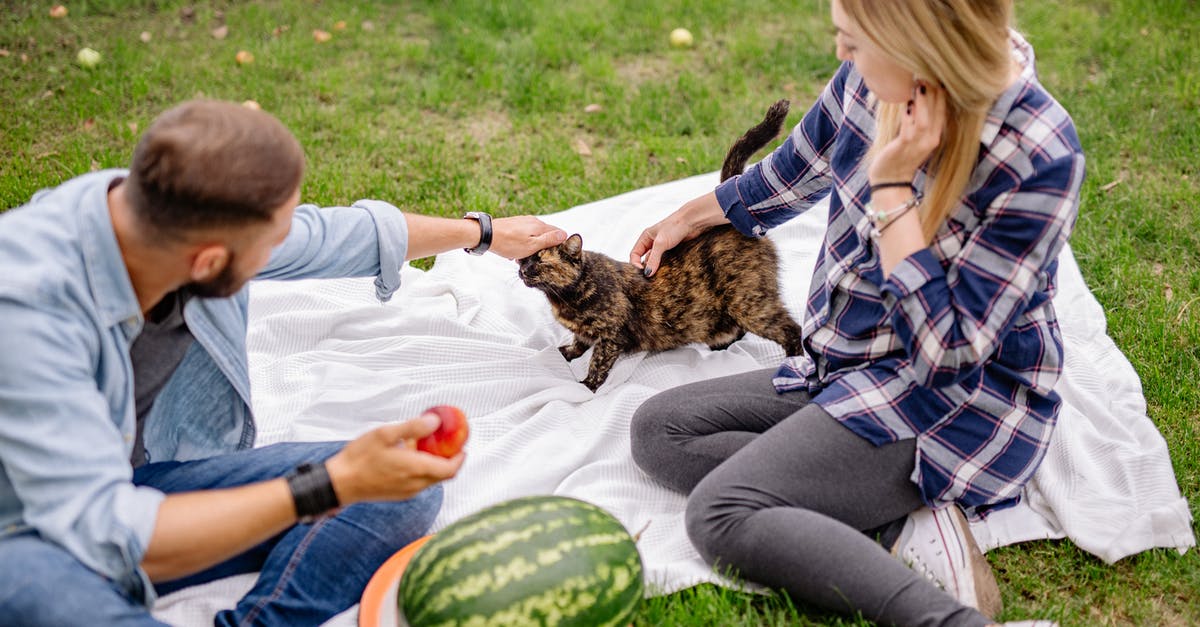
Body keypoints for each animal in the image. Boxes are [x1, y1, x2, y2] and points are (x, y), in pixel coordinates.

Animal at [520, 99, 801, 386]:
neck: (565, 297)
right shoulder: (586, 332)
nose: (523, 271)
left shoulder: (612, 336)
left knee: (791, 329)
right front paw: (566, 352)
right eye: (523, 258)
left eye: (540, 261)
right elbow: (579, 342)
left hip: (749, 303)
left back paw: (793, 366)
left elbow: (597, 363)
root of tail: (729, 220)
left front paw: (586, 386)